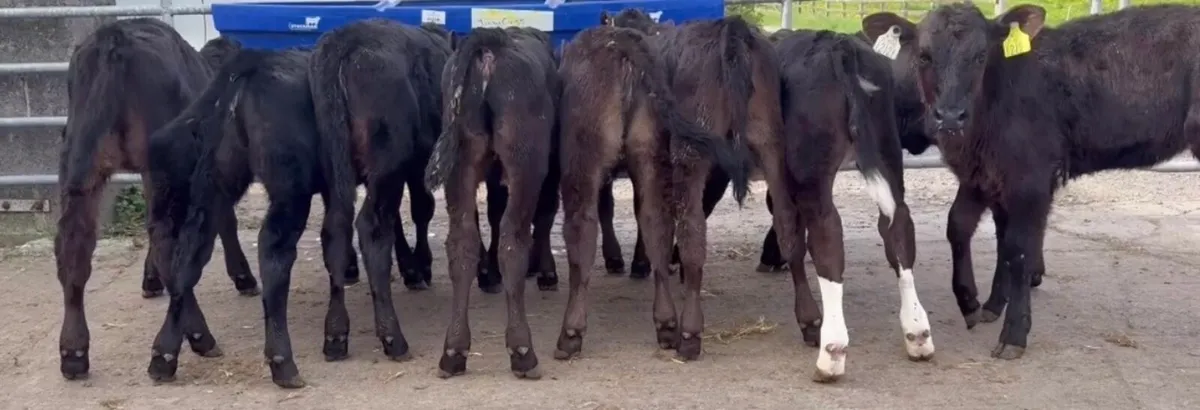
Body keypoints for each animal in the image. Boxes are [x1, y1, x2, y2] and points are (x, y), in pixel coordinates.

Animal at [54, 18, 258, 381]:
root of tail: (113, 38)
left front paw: (149, 281)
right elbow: (225, 222)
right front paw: (244, 277)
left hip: (79, 161)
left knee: (74, 247)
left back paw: (74, 352)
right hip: (162, 159)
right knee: (166, 242)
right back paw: (196, 338)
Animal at [308, 18, 452, 373]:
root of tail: (345, 41)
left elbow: (400, 219)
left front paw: (412, 267)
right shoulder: (416, 165)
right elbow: (421, 210)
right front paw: (420, 265)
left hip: (338, 169)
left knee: (337, 229)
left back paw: (335, 334)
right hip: (388, 161)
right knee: (372, 227)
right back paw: (393, 337)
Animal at [425, 26, 560, 379]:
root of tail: (490, 42)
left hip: (461, 161)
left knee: (462, 241)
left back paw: (454, 351)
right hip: (527, 161)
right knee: (514, 239)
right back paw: (523, 351)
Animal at [863, 2, 1200, 359]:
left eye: (981, 55)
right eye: (924, 56)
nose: (951, 116)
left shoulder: (1031, 179)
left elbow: (1018, 247)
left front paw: (1014, 333)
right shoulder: (983, 175)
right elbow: (963, 227)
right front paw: (977, 302)